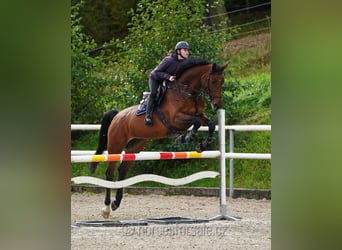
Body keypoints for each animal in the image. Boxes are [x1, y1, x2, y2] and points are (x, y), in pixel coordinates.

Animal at [90, 57, 227, 218]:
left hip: (134, 146)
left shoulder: (200, 115)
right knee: (109, 173)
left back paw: (116, 203)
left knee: (122, 170)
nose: (217, 105)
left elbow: (210, 124)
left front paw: (203, 145)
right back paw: (106, 208)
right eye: (213, 81)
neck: (187, 92)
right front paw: (185, 138)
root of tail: (117, 115)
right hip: (115, 146)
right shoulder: (176, 119)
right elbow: (196, 122)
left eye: (222, 81)